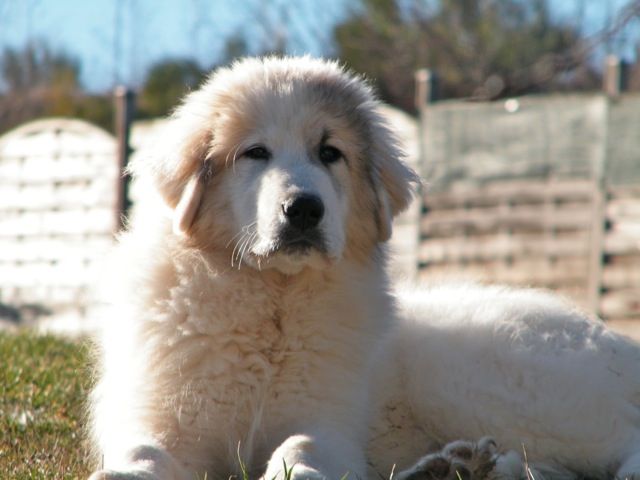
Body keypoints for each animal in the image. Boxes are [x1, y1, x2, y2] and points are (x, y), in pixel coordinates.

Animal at [87, 57, 640, 480]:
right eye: (255, 153)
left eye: (329, 153)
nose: (304, 209)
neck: (272, 299)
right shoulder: (164, 415)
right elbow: (144, 449)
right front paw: (122, 473)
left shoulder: (328, 422)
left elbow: (301, 446)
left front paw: (296, 472)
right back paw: (454, 466)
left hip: (472, 376)